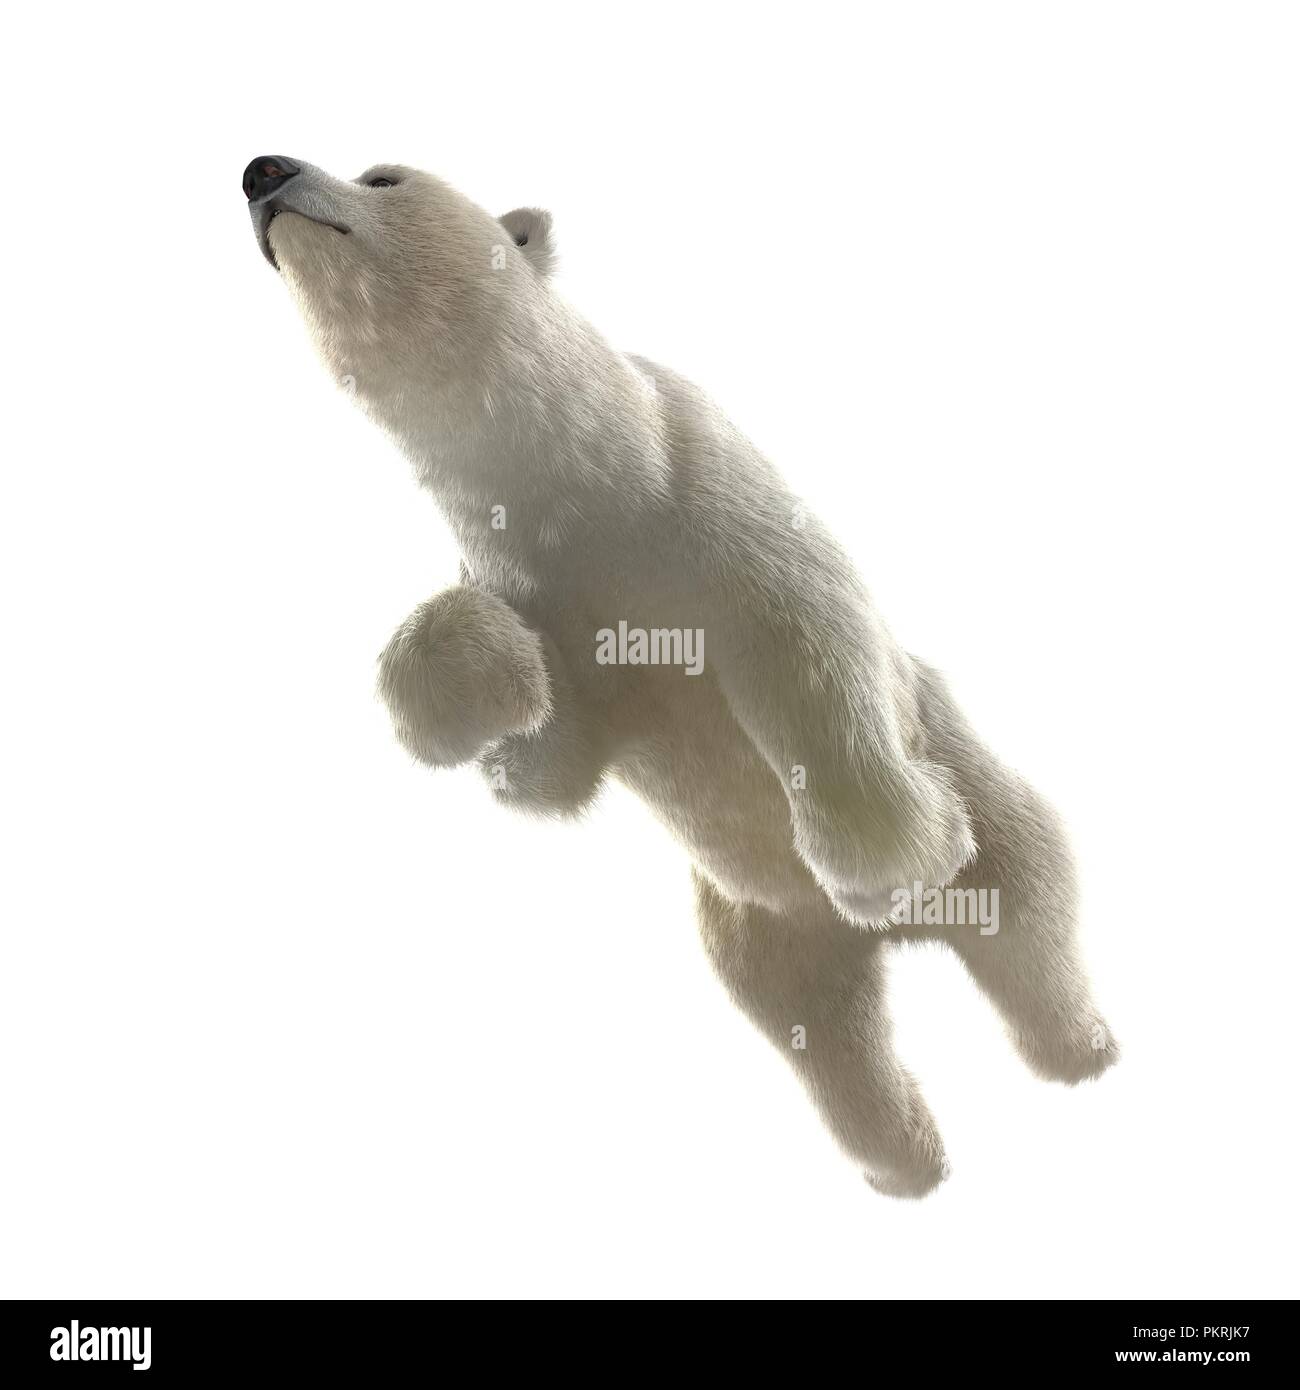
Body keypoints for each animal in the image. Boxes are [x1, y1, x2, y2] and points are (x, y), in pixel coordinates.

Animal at [244, 154, 1118, 1197]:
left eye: (383, 175)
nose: (263, 172)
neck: (583, 485)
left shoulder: (697, 483)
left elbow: (805, 638)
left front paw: (887, 862)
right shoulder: (532, 586)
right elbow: (551, 760)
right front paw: (467, 681)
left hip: (971, 789)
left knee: (1025, 900)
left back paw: (1076, 1047)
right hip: (765, 931)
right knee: (830, 1038)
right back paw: (906, 1160)